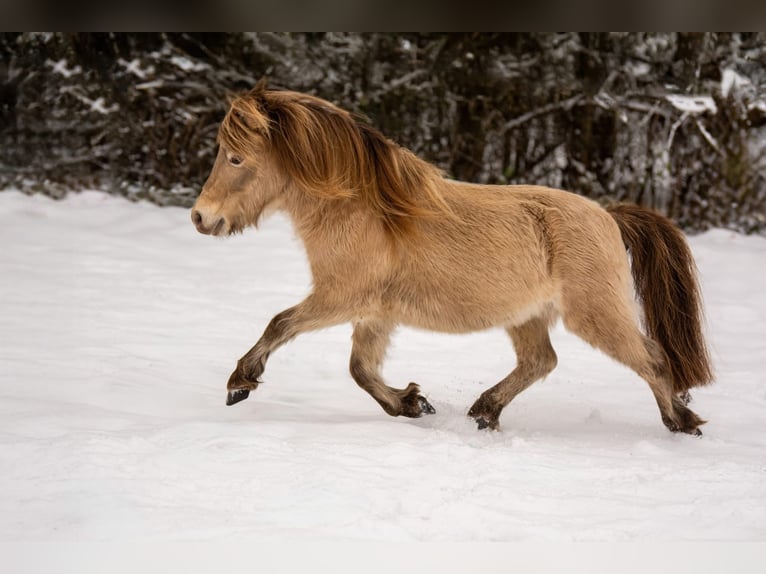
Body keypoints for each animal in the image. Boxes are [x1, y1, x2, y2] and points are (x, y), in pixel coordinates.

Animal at [191, 85, 713, 435]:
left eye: (235, 158)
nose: (200, 217)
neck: (365, 209)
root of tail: (608, 216)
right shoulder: (373, 313)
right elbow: (361, 370)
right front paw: (411, 403)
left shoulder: (340, 297)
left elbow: (280, 323)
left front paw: (240, 382)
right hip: (527, 317)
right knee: (540, 360)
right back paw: (485, 411)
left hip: (596, 315)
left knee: (653, 359)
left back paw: (681, 420)